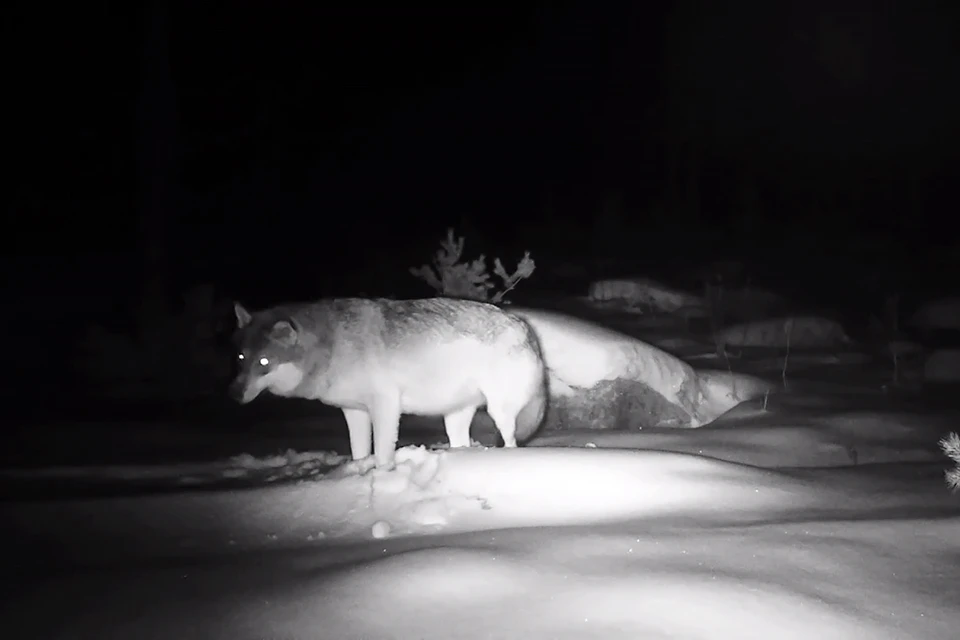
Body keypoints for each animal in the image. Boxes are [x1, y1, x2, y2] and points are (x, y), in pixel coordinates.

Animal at [230, 297, 548, 467]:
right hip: (454, 418)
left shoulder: (385, 405)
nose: (234, 394)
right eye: (242, 357)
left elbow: (383, 452)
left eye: (264, 363)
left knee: (511, 443)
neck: (332, 346)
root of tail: (523, 326)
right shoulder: (353, 411)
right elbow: (359, 451)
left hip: (499, 413)